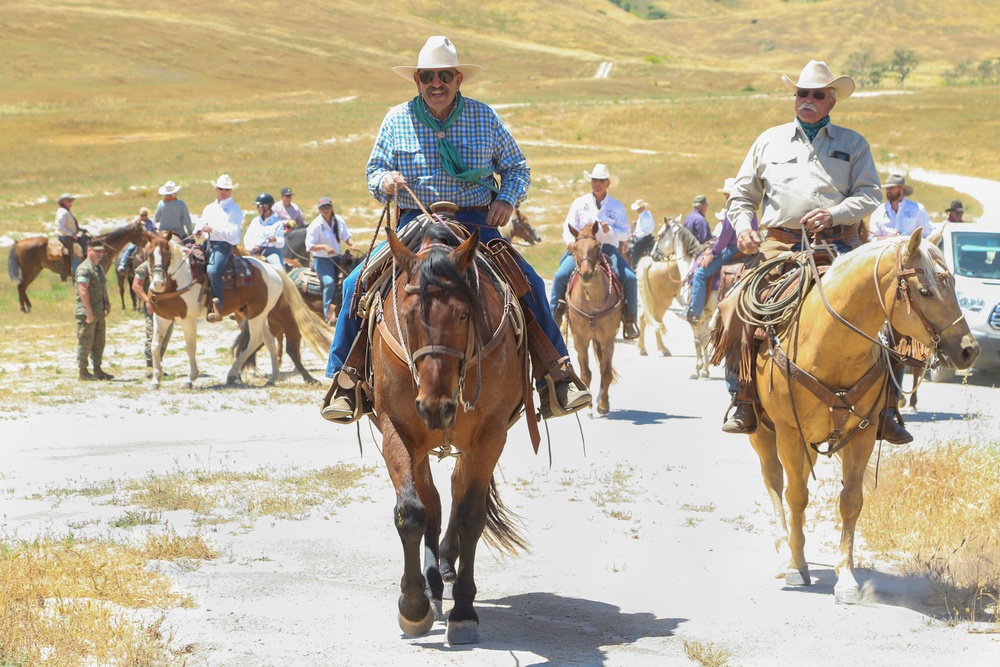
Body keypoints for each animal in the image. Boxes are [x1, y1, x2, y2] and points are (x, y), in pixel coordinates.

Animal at [6, 219, 149, 314]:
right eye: (141, 231)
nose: (148, 242)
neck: (103, 247)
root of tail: (18, 242)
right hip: (28, 270)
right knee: (21, 286)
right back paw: (23, 308)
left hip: (35, 270)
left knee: (23, 287)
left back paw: (28, 307)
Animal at [146, 235, 324, 392]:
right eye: (148, 253)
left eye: (167, 253)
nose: (158, 283)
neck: (179, 279)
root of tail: (272, 269)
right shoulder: (162, 317)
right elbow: (155, 346)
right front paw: (155, 381)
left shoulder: (187, 320)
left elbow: (190, 347)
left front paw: (190, 379)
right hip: (259, 314)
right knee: (269, 340)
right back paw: (272, 378)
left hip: (256, 314)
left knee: (255, 340)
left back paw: (233, 374)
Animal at [374, 222, 532, 644]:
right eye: (408, 314)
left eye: (463, 314)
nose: (435, 406)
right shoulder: (396, 428)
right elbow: (412, 512)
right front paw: (413, 606)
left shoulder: (490, 435)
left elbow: (470, 516)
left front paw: (463, 611)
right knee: (431, 500)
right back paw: (432, 579)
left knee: (457, 494)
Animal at [568, 222, 620, 414]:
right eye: (574, 248)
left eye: (596, 247)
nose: (586, 274)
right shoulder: (580, 340)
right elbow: (585, 373)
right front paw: (588, 406)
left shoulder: (608, 340)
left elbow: (606, 373)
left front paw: (603, 404)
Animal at [732, 231, 980, 604]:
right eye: (925, 291)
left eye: (951, 283)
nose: (968, 350)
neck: (827, 345)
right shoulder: (790, 432)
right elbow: (795, 495)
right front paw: (796, 567)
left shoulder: (863, 433)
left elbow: (850, 500)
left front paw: (846, 578)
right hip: (763, 432)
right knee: (774, 481)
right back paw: (783, 550)